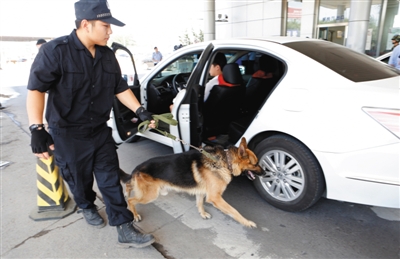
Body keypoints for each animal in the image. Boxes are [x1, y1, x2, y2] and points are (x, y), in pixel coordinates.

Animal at [118, 137, 262, 229]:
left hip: (148, 191)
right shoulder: (215, 198)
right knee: (131, 200)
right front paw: (247, 222)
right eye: (255, 164)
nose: (265, 172)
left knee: (130, 185)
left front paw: (202, 214)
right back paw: (134, 214)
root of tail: (137, 168)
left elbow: (200, 203)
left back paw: (126, 192)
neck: (225, 161)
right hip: (150, 195)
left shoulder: (201, 192)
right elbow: (234, 211)